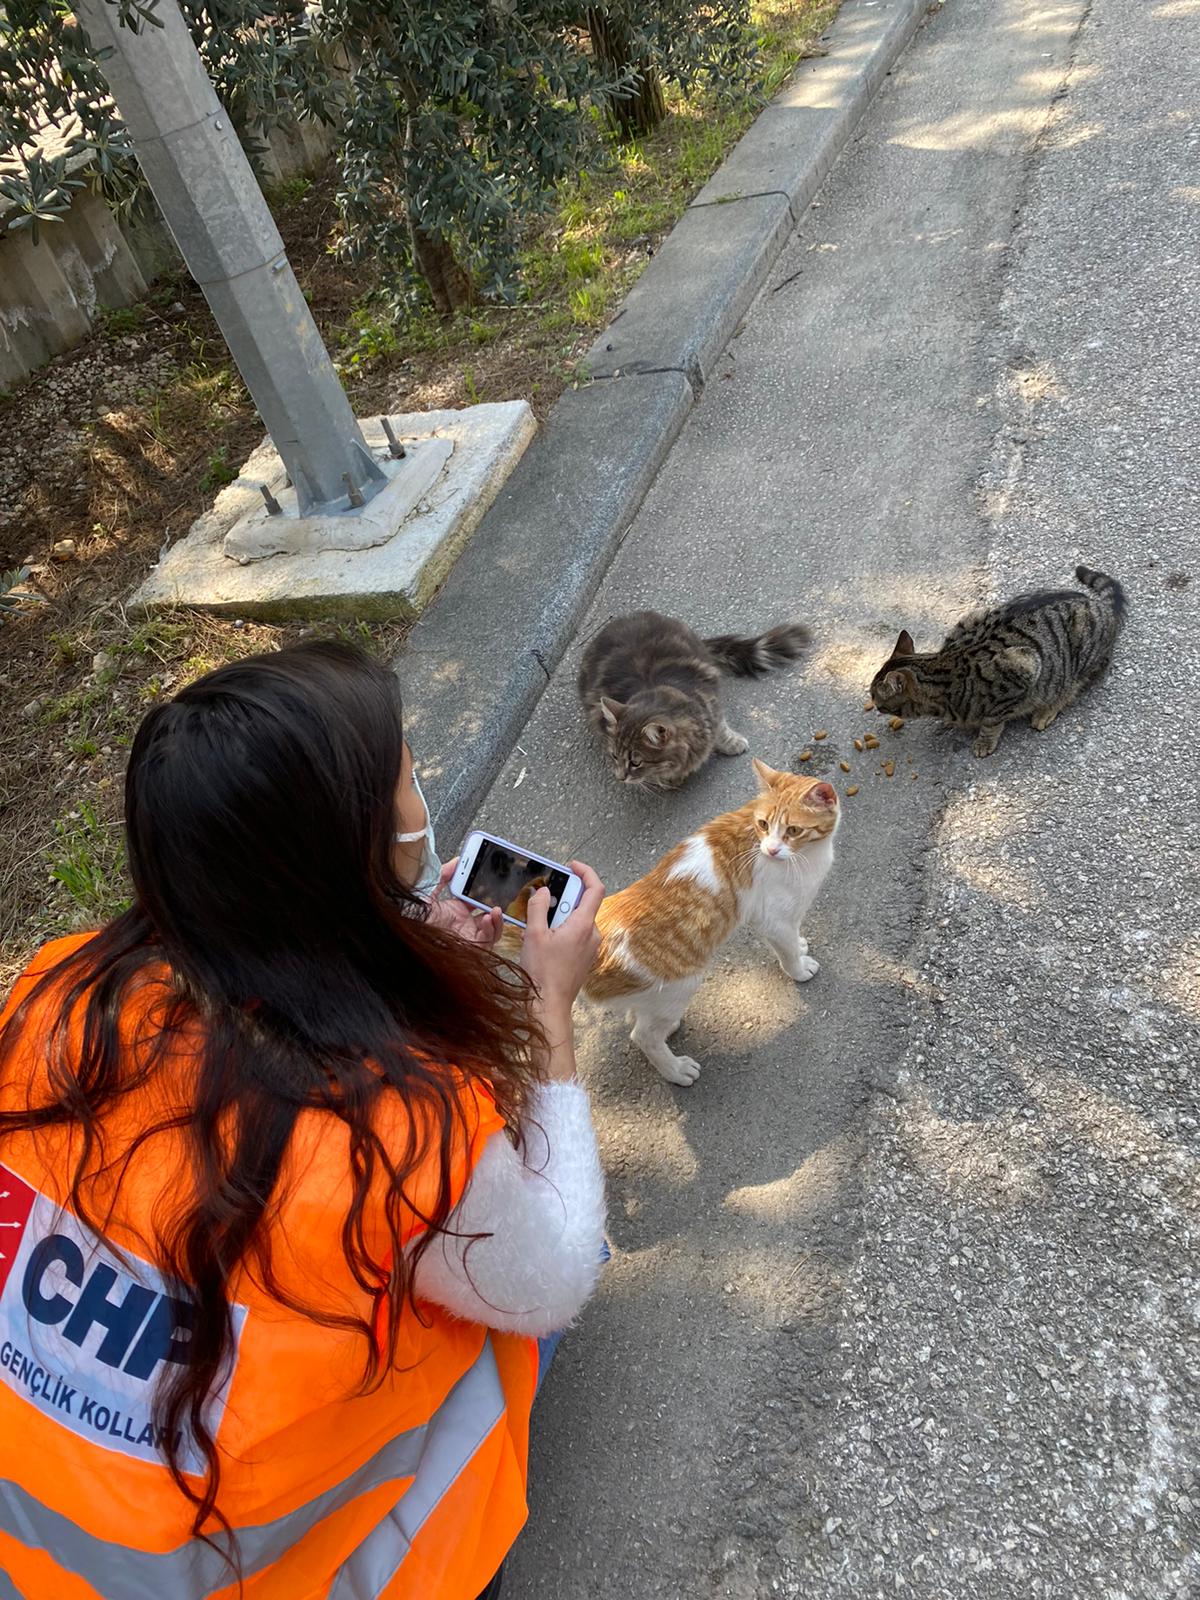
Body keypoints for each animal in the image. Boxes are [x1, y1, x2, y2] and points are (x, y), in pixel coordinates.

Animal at [579, 608, 812, 790]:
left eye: (636, 763)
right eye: (614, 756)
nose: (620, 777)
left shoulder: (710, 701)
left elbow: (721, 730)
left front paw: (732, 744)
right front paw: (668, 779)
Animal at [582, 761, 838, 1088]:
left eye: (793, 830)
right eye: (763, 824)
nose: (770, 850)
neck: (806, 854)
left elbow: (791, 940)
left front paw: (801, 944)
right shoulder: (775, 919)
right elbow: (788, 950)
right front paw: (799, 968)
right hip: (682, 983)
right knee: (643, 1036)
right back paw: (675, 1070)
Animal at [876, 566, 1126, 758]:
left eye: (875, 696)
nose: (874, 706)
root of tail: (1100, 606)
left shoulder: (1023, 665)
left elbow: (992, 721)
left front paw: (983, 741)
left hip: (1078, 658)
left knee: (1075, 685)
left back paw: (1047, 709)